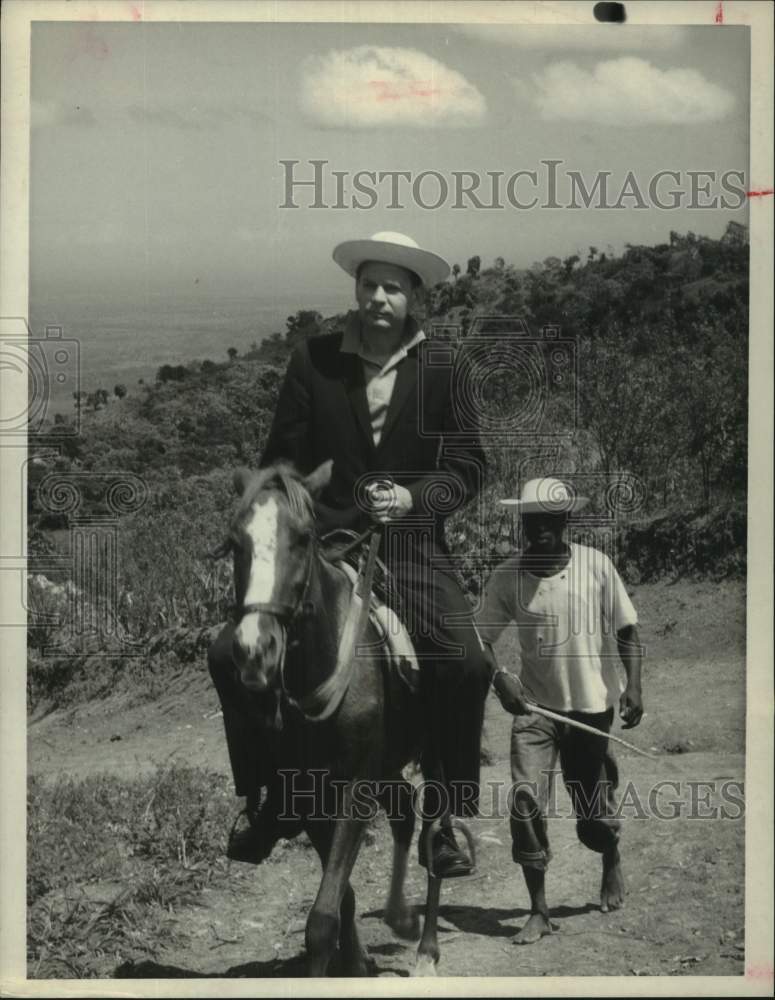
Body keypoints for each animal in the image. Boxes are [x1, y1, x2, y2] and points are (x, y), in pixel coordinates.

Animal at [211, 462, 454, 976]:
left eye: (303, 538)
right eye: (236, 543)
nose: (254, 649)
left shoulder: (355, 788)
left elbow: (322, 918)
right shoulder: (309, 797)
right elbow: (341, 894)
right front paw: (356, 963)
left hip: (431, 752)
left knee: (432, 834)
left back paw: (425, 945)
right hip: (386, 765)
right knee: (403, 811)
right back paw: (400, 918)